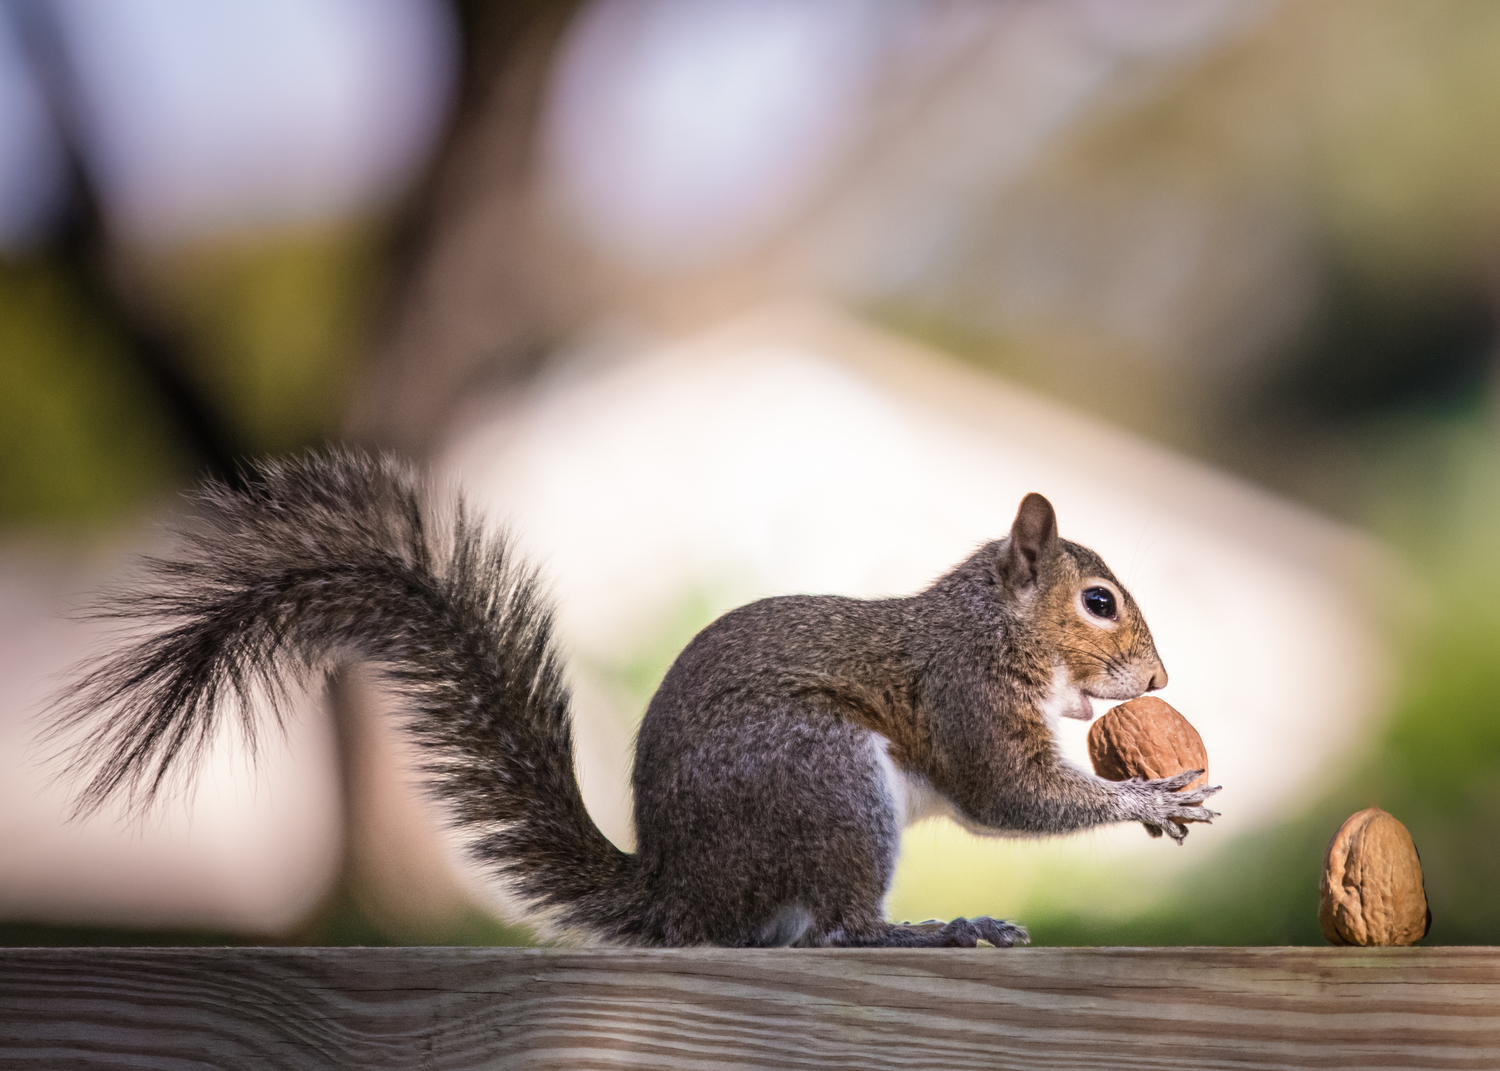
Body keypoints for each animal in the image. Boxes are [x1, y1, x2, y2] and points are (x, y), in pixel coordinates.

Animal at [51, 449, 1219, 948]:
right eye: (1100, 602)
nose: (1161, 684)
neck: (989, 628)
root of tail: (678, 891)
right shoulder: (966, 699)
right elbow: (1011, 795)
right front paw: (1150, 800)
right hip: (825, 782)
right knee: (837, 931)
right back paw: (929, 931)